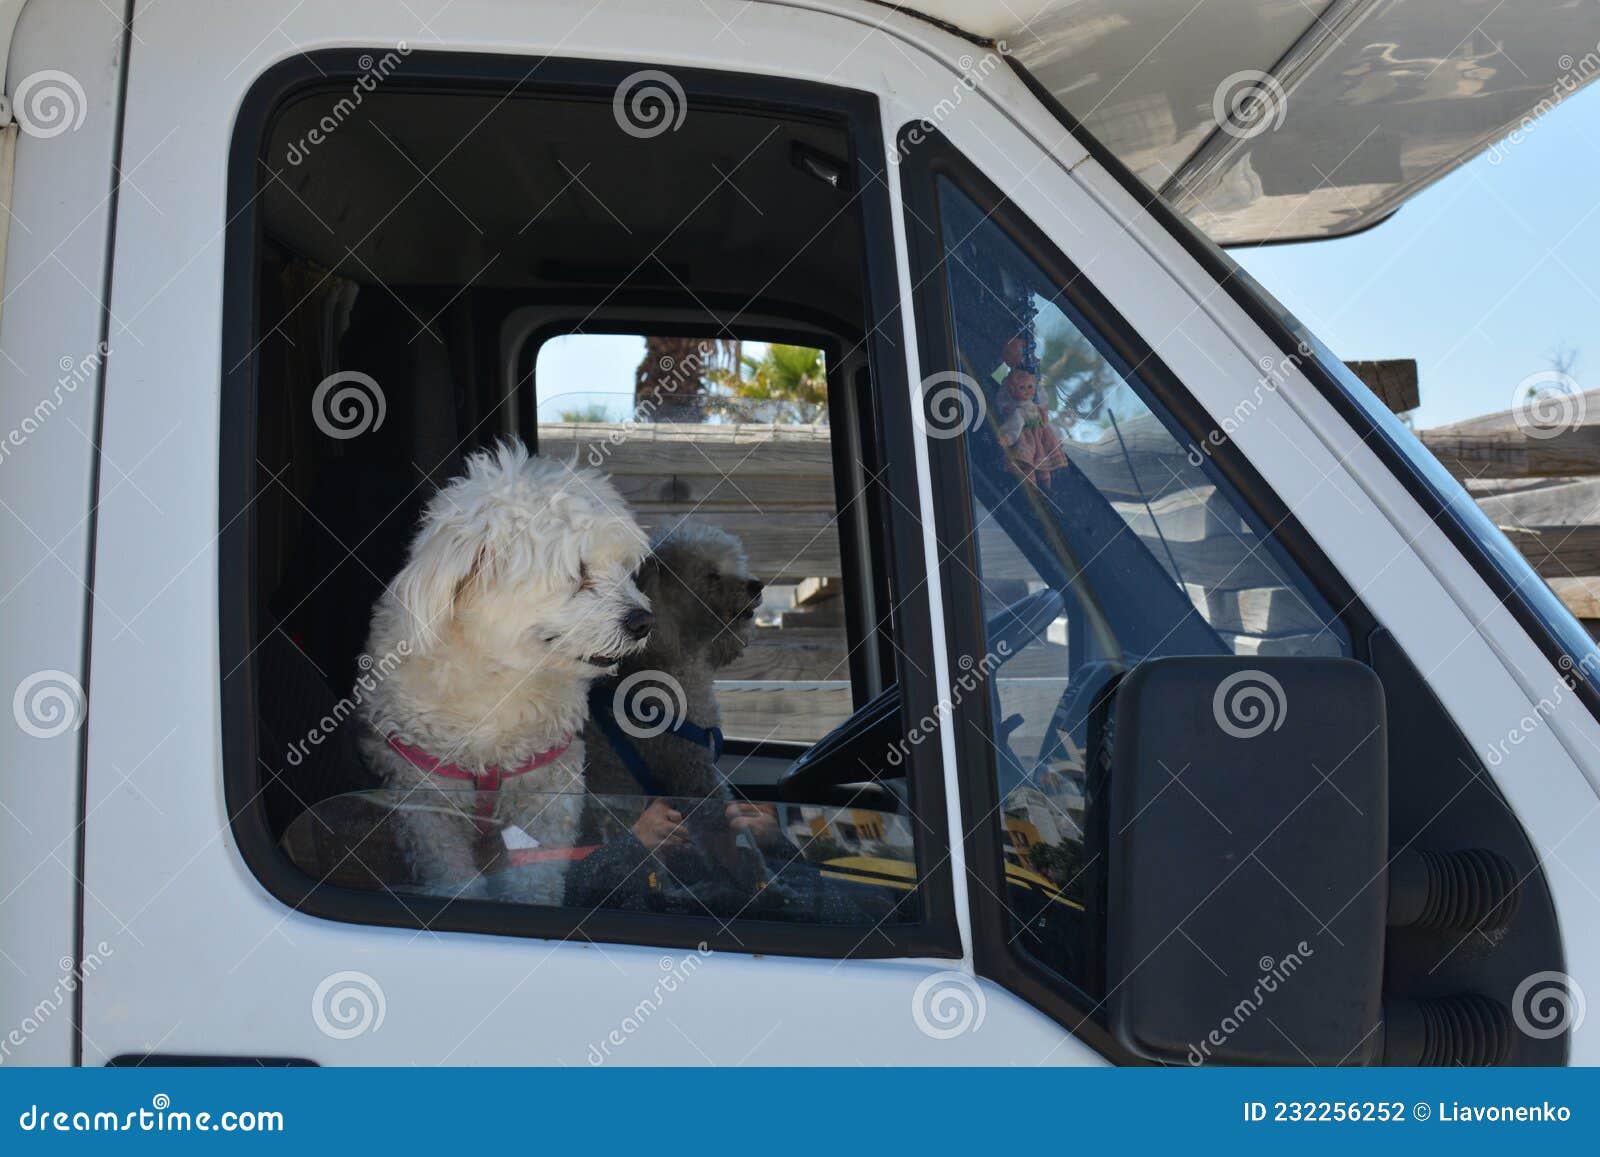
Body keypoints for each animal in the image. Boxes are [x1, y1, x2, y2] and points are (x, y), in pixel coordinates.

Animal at [360, 444, 652, 902]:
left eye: (625, 567)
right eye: (579, 573)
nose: (644, 621)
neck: (500, 678)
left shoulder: (550, 787)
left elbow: (539, 873)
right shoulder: (424, 798)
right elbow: (450, 868)